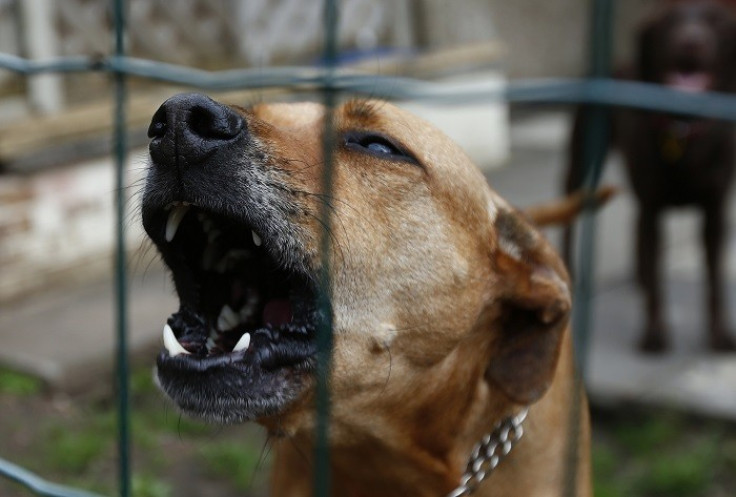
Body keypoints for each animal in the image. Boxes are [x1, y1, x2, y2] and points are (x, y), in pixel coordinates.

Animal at [568, 0, 736, 352]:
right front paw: (654, 333)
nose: (691, 41)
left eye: (714, 21)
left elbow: (714, 279)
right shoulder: (653, 208)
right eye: (669, 22)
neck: (682, 130)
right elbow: (659, 283)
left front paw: (720, 333)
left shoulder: (714, 213)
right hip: (582, 164)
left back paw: (639, 279)